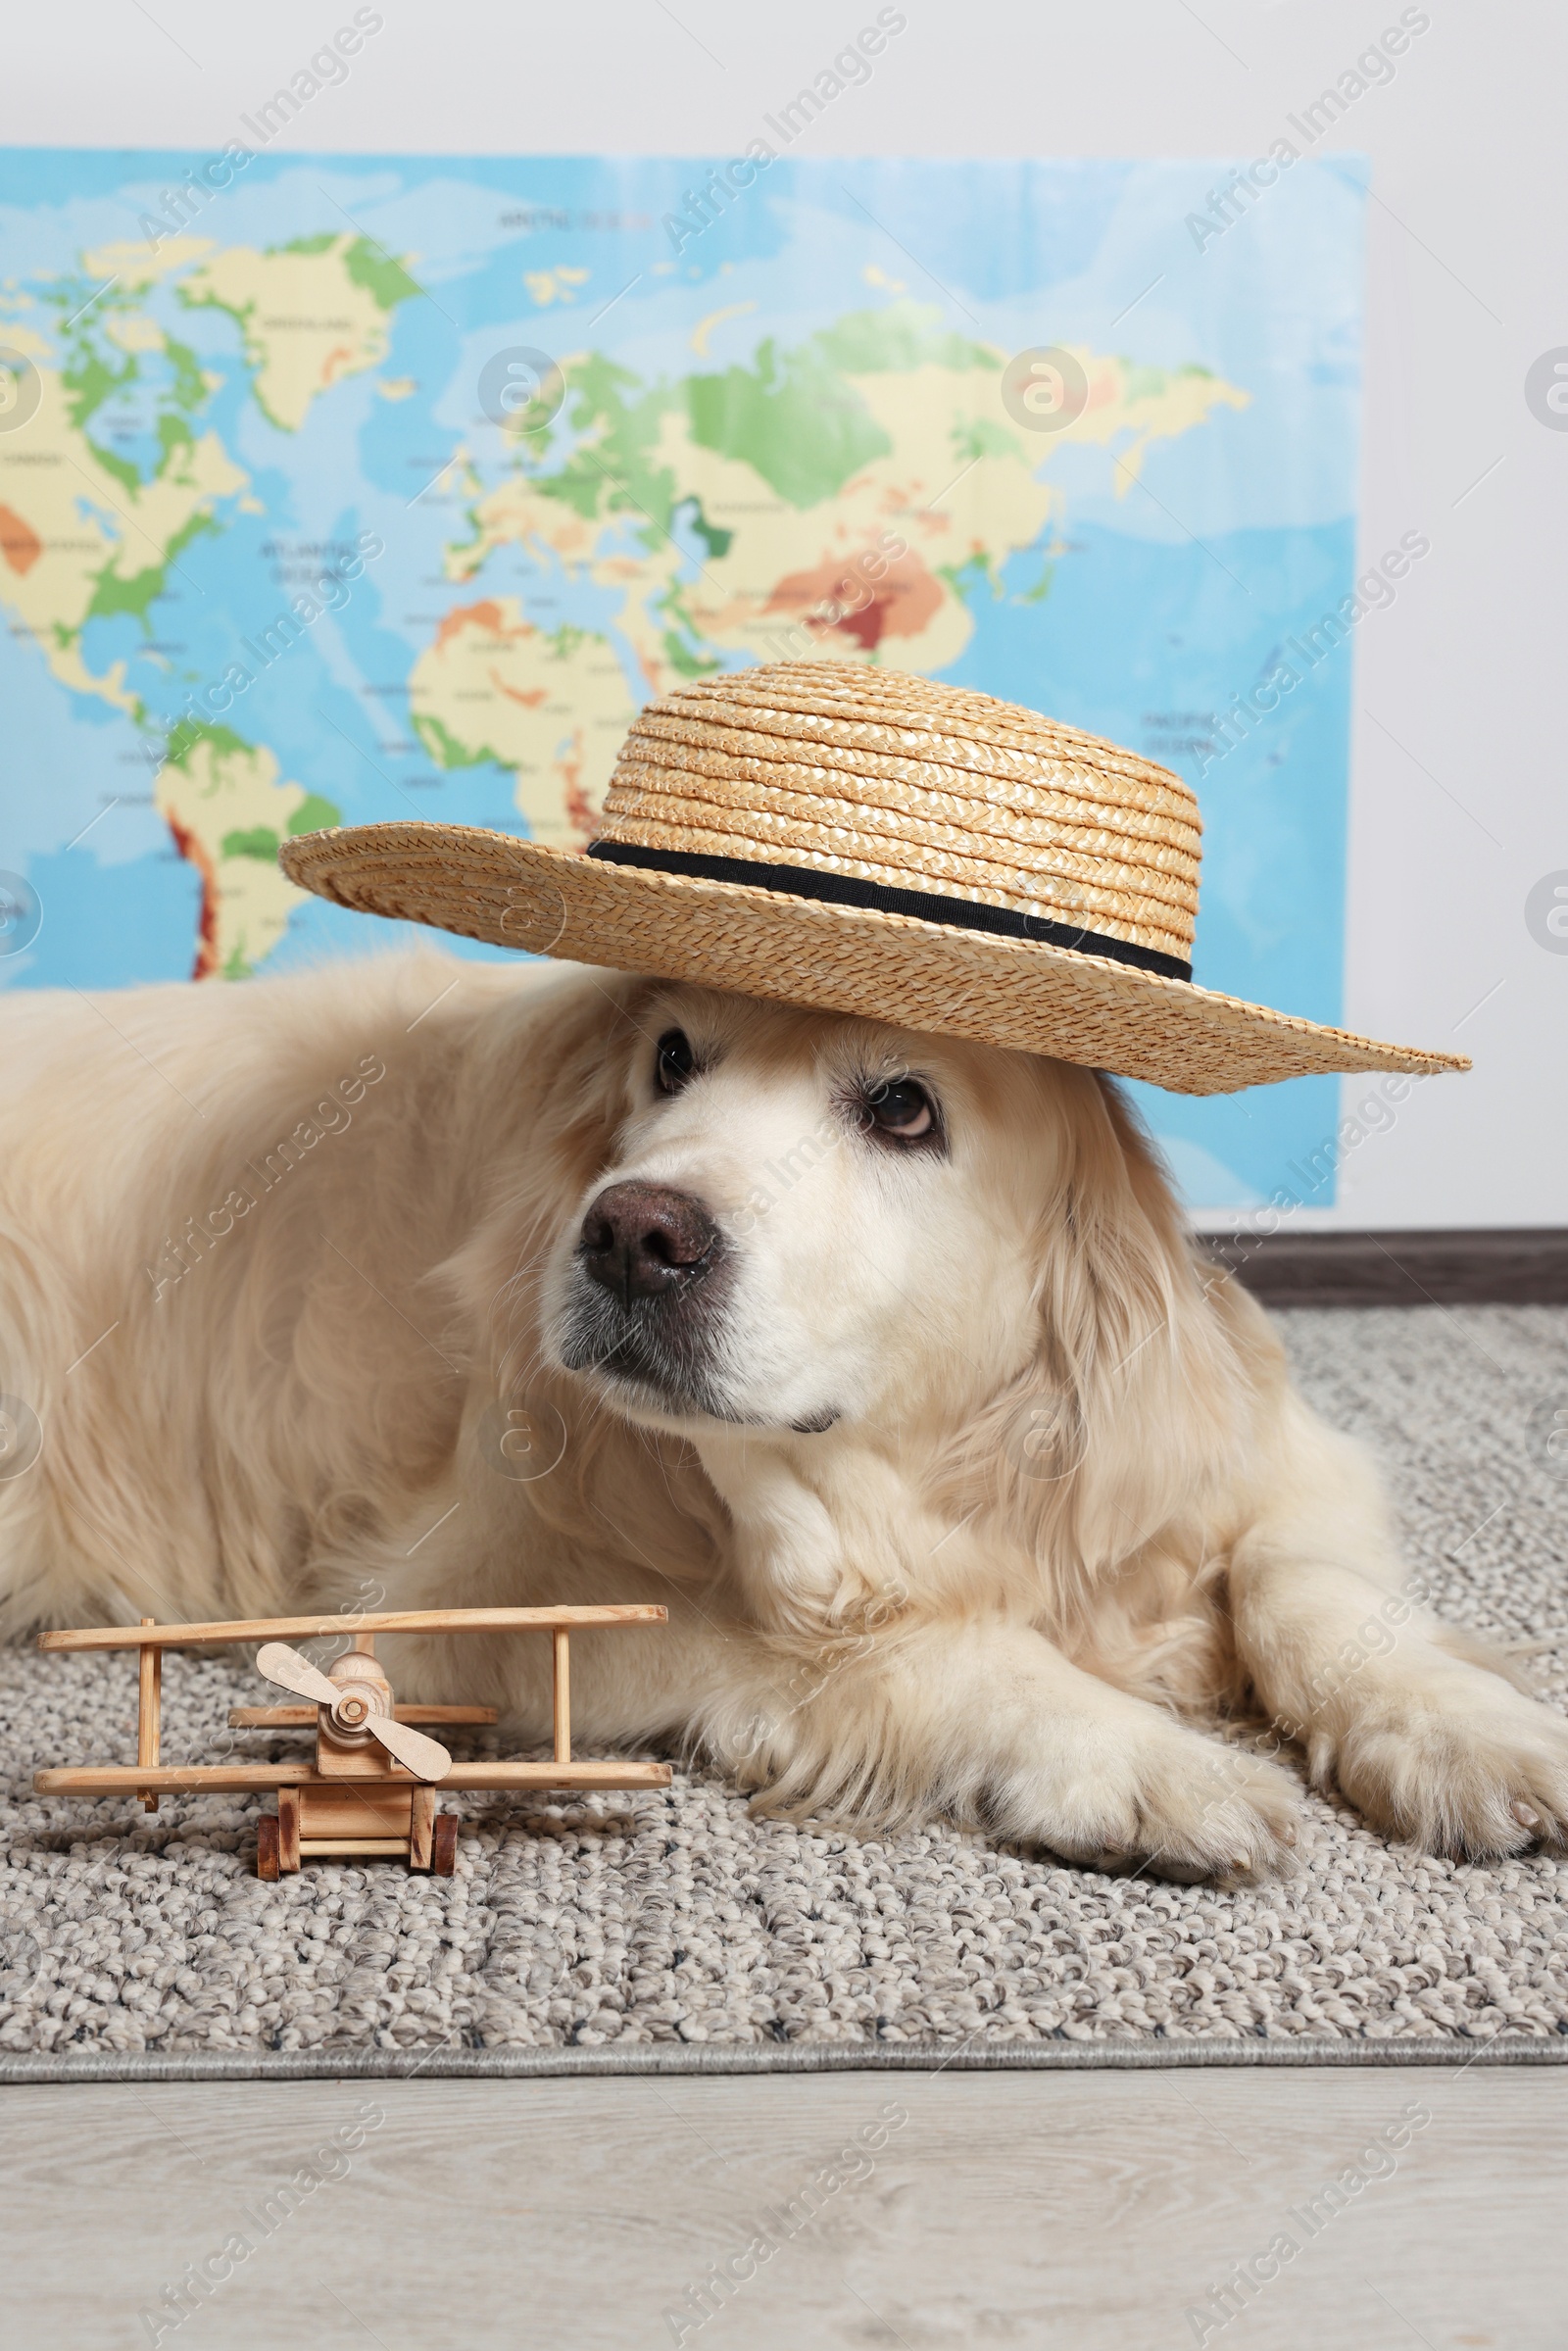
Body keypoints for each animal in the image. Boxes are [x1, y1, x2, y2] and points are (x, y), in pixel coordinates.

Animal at [3, 945, 1568, 1881]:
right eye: (670, 1058)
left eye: (903, 1106)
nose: (630, 1235)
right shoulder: (459, 1594)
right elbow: (901, 1647)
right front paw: (1139, 1757)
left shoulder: (1259, 1448)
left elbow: (1307, 1583)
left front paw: (1469, 1728)